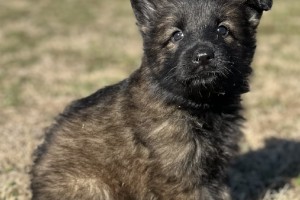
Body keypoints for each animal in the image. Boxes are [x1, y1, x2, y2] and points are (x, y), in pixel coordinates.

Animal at [30, 0, 272, 199]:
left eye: (223, 30)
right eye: (176, 35)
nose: (203, 57)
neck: (199, 105)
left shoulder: (215, 172)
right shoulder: (179, 177)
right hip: (90, 187)